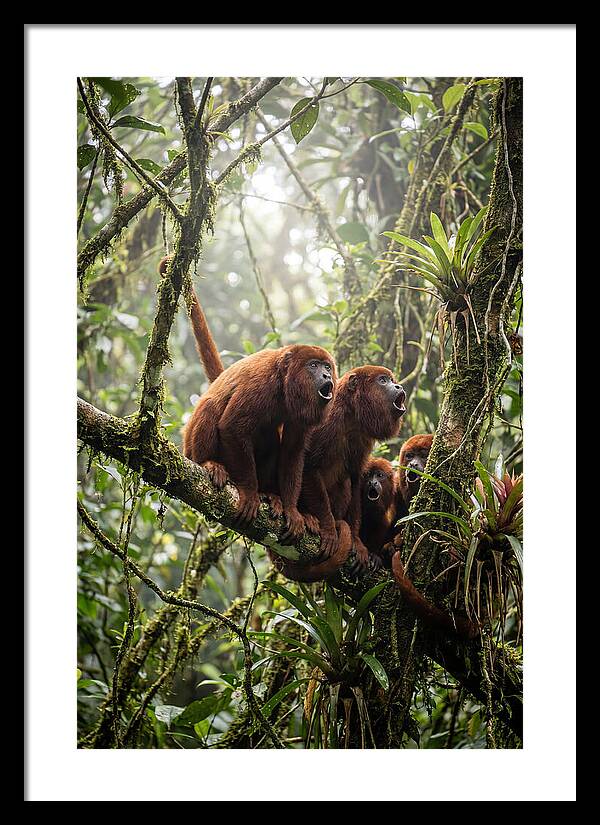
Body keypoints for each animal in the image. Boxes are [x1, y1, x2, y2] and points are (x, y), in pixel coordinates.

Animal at [159, 257, 338, 538]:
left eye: (327, 366)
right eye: (313, 366)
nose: (326, 376)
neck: (284, 383)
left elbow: (292, 451)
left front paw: (291, 509)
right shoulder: (261, 384)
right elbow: (231, 426)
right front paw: (251, 493)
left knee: (271, 438)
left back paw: (271, 496)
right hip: (190, 448)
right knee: (211, 408)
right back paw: (211, 464)